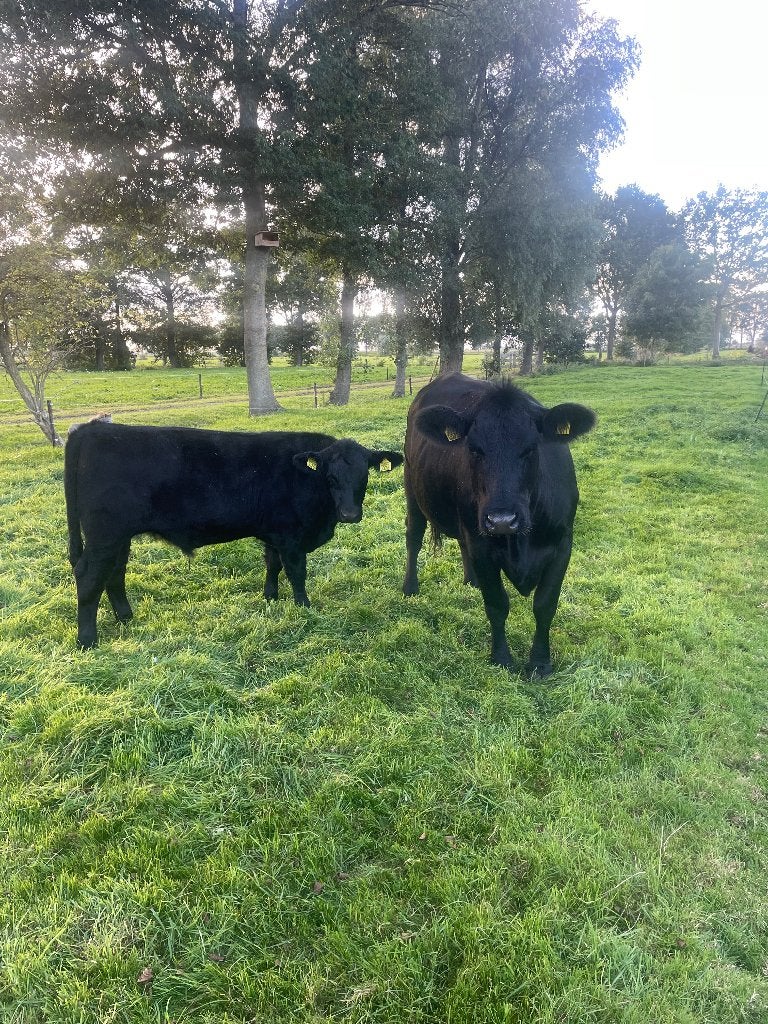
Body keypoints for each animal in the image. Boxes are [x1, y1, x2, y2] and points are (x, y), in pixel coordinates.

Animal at [64, 421, 403, 648]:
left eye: (364, 475)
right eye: (330, 477)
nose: (350, 514)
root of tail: (92, 428)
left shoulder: (274, 534)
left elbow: (272, 564)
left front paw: (270, 597)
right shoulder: (292, 536)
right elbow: (296, 572)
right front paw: (304, 606)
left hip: (118, 537)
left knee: (115, 573)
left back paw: (125, 617)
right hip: (105, 535)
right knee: (89, 576)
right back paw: (87, 639)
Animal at [402, 372, 596, 676]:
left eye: (531, 448)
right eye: (474, 449)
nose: (502, 520)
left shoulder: (563, 545)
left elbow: (545, 605)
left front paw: (540, 662)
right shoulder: (482, 546)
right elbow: (496, 604)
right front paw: (502, 658)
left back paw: (471, 581)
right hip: (412, 485)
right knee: (414, 536)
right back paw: (410, 587)